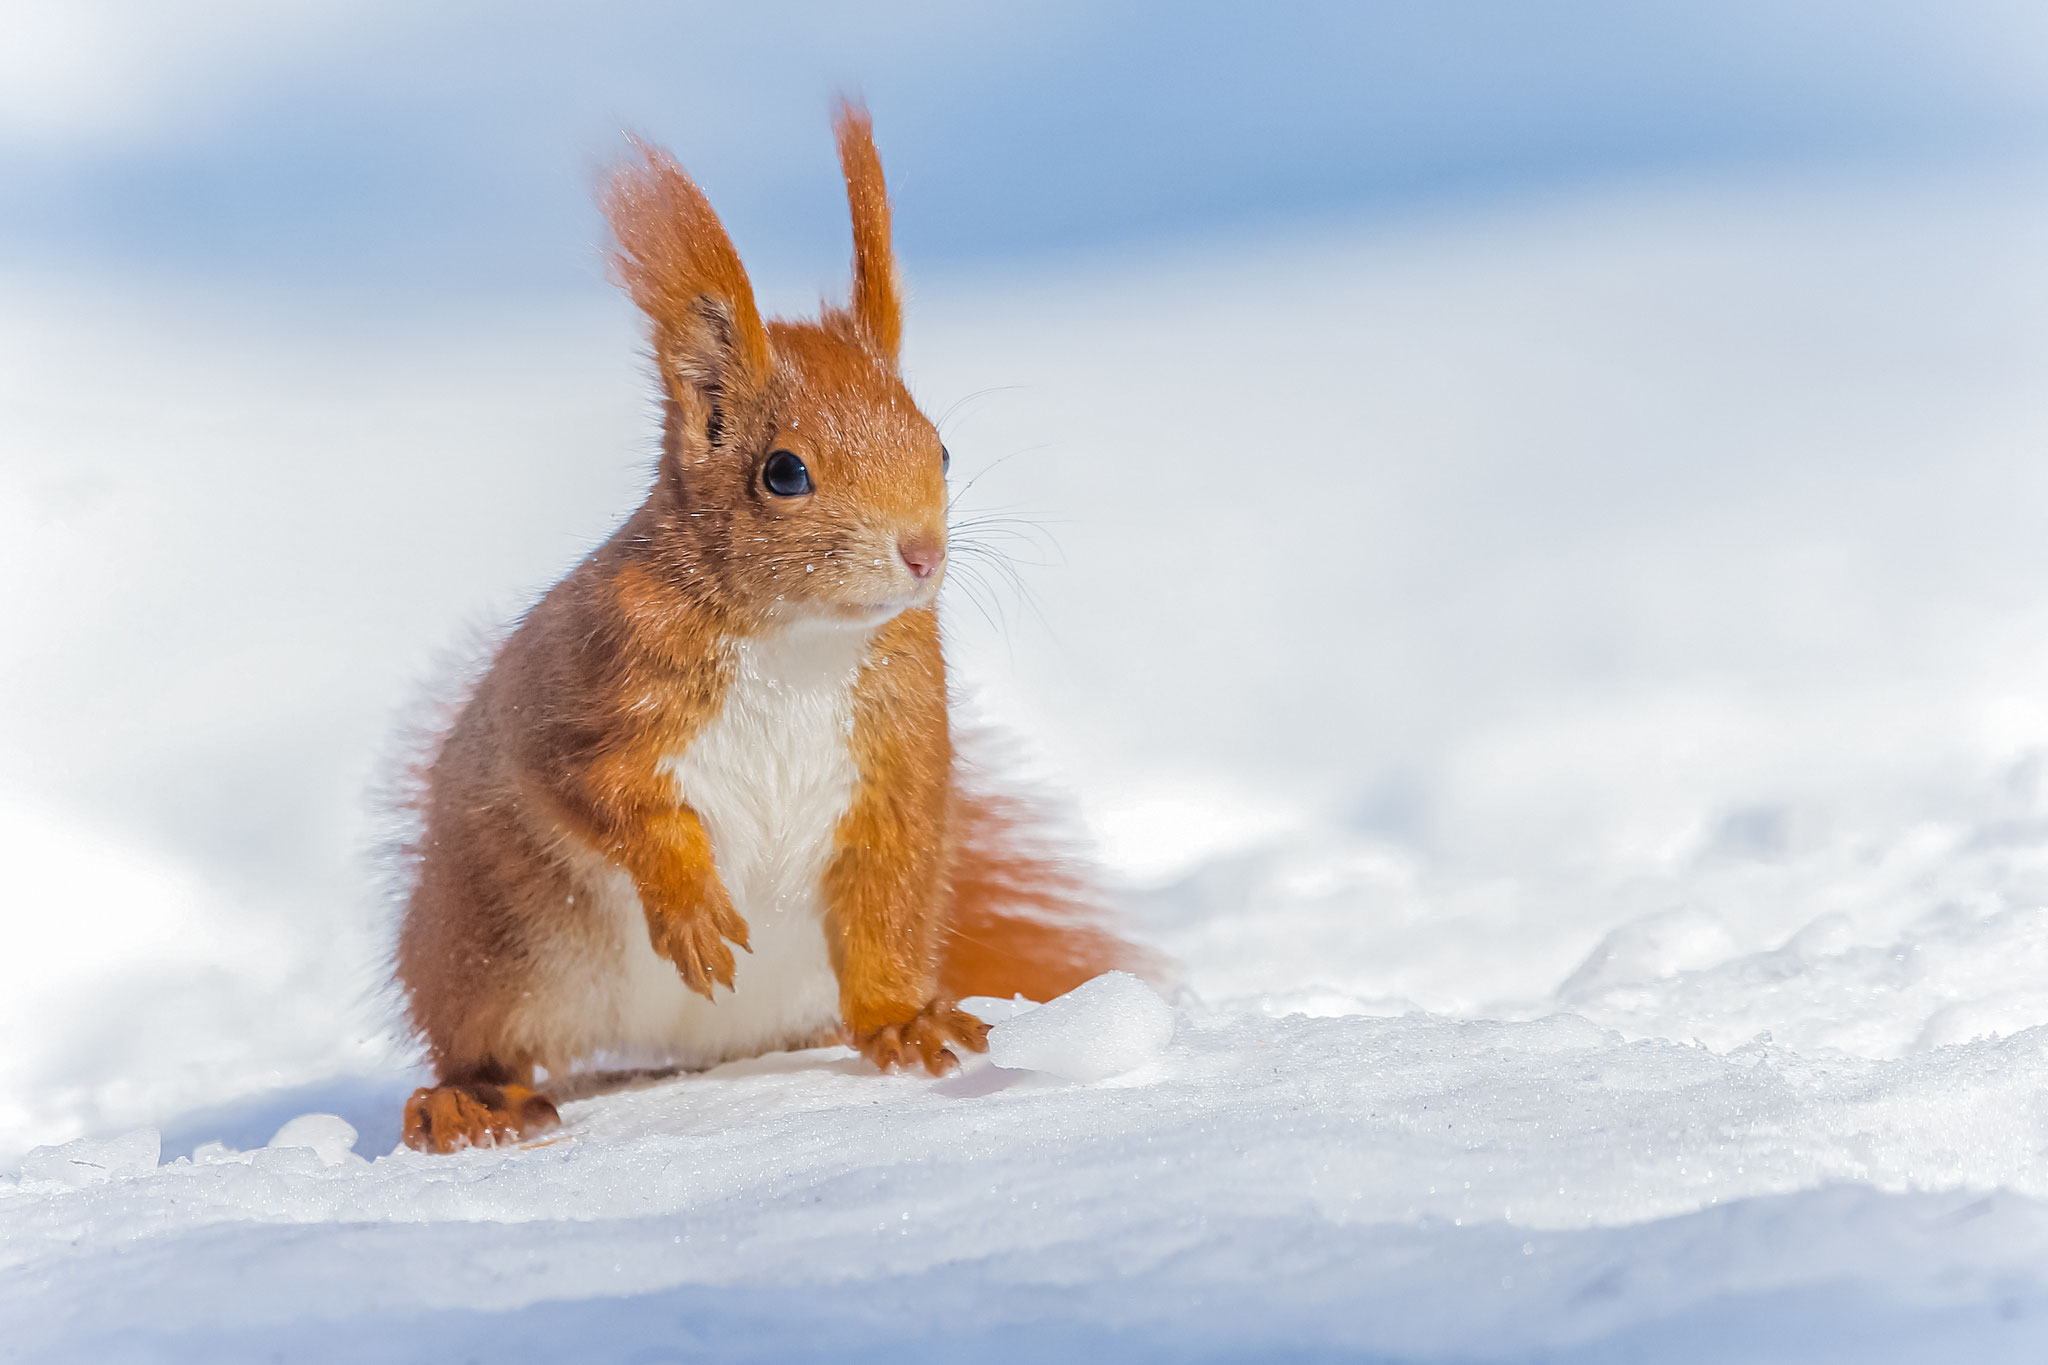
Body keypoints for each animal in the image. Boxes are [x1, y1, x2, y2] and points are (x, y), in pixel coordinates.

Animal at [393, 102, 1143, 1153]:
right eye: (784, 472)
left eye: (941, 448)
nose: (922, 554)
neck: (799, 640)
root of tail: (690, 1047)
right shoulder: (585, 684)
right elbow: (596, 792)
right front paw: (687, 900)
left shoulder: (896, 753)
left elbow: (886, 892)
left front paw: (906, 1022)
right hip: (494, 947)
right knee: (481, 1044)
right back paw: (467, 1100)